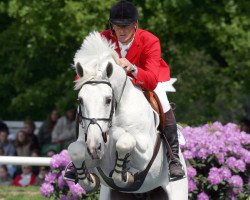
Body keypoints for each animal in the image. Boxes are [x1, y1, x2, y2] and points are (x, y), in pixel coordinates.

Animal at [66, 32, 188, 199]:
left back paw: (176, 167)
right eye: (80, 100)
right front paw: (87, 179)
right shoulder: (87, 145)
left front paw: (123, 174)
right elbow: (75, 150)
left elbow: (124, 141)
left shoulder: (146, 154)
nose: (94, 147)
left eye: (108, 100)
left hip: (177, 190)